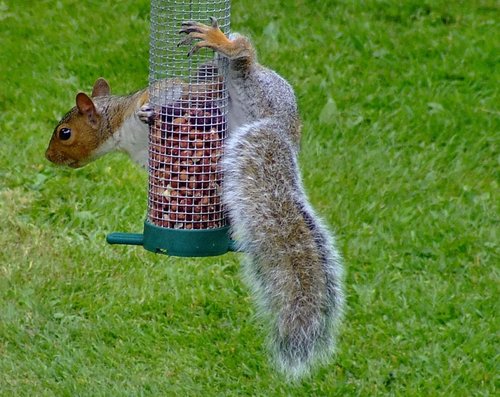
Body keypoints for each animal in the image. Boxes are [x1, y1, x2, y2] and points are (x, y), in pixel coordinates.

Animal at [45, 18, 344, 380]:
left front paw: (151, 111)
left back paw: (216, 40)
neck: (120, 129)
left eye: (65, 134)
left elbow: (165, 94)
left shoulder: (165, 90)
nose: (48, 156)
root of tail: (282, 132)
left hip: (254, 90)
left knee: (243, 55)